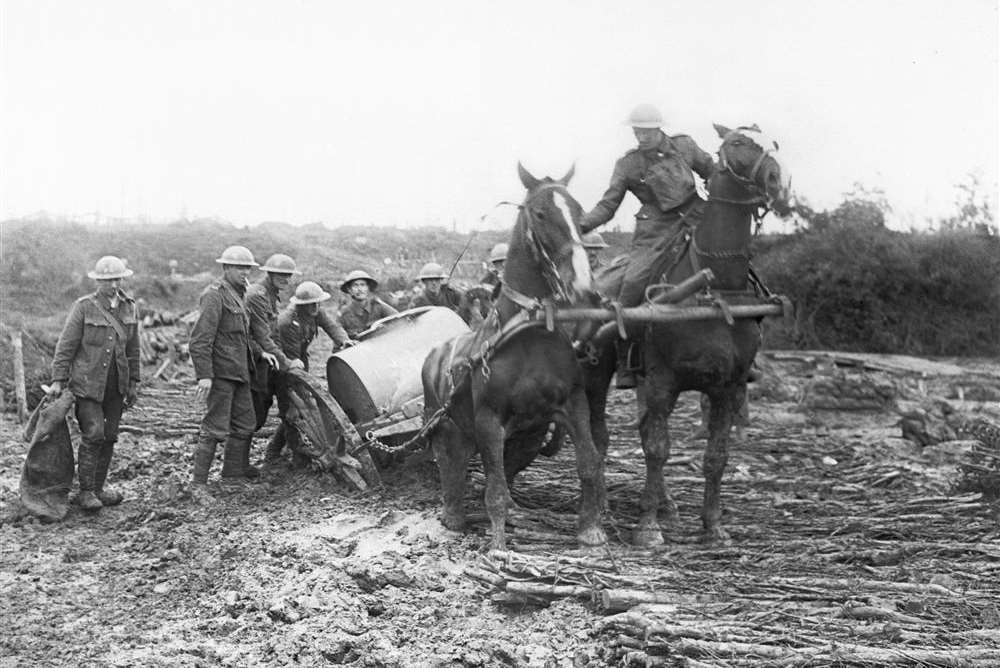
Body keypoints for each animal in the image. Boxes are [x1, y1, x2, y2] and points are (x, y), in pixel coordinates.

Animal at [420, 163, 604, 548]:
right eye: (540, 213)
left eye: (581, 214)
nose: (583, 289)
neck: (529, 330)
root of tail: (434, 355)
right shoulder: (489, 420)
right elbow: (495, 489)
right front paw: (498, 546)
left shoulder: (573, 404)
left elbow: (590, 463)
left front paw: (591, 529)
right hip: (445, 427)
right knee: (450, 466)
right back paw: (453, 517)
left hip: (525, 436)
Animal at [584, 122, 792, 544]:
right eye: (737, 142)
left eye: (773, 143)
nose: (776, 182)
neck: (714, 287)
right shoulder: (663, 381)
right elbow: (657, 450)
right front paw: (647, 528)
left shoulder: (728, 387)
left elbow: (716, 457)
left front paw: (713, 525)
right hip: (601, 374)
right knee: (602, 434)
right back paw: (605, 505)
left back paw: (667, 506)